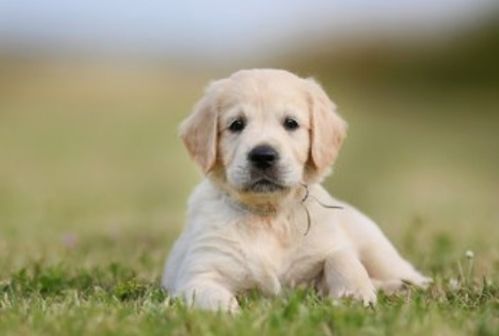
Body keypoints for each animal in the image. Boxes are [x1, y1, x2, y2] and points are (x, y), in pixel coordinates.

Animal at [162, 69, 432, 312]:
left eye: (290, 123)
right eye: (236, 124)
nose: (263, 156)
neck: (269, 215)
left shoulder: (326, 249)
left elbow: (342, 258)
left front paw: (355, 294)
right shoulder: (200, 272)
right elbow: (208, 293)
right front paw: (227, 311)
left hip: (375, 245)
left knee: (407, 273)